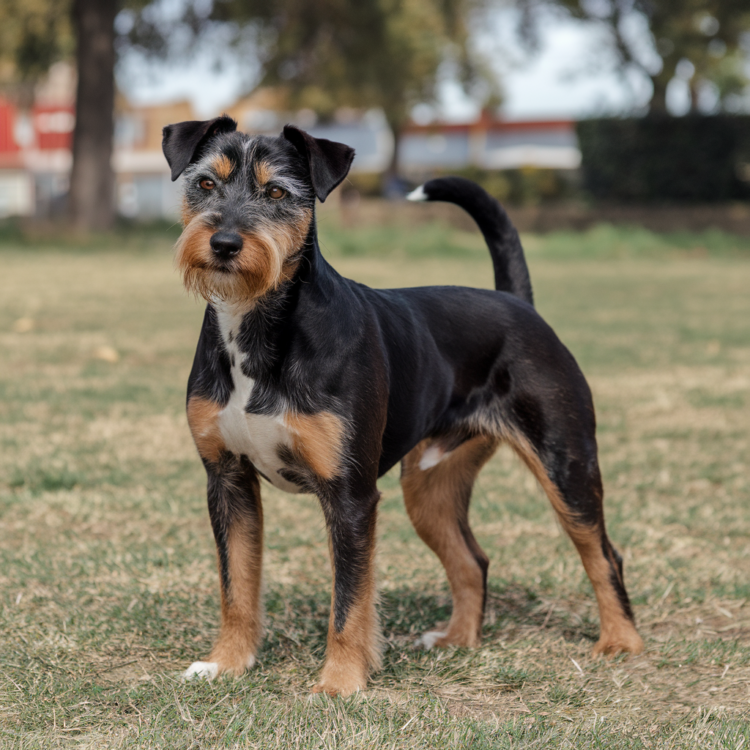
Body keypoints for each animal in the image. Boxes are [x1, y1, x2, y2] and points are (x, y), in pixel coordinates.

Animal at [162, 117, 644, 700]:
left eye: (276, 193)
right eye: (206, 183)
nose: (225, 243)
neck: (260, 331)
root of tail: (517, 303)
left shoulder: (350, 496)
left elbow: (349, 602)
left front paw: (339, 683)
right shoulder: (228, 481)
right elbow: (236, 585)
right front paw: (227, 664)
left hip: (566, 465)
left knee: (603, 553)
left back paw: (620, 643)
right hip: (429, 486)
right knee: (472, 560)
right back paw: (458, 640)